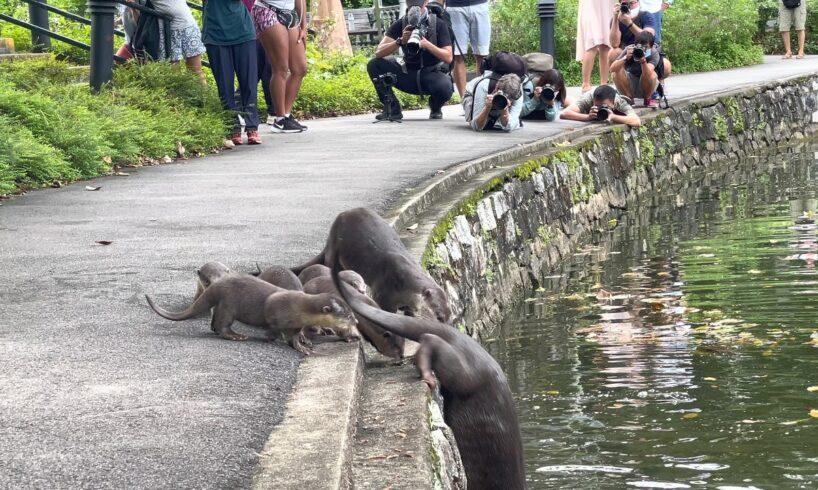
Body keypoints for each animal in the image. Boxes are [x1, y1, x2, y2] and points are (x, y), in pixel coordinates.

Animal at [145, 274, 356, 354]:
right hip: (229, 304)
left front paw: (302, 346)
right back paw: (236, 336)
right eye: (346, 316)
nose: (355, 321)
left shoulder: (296, 326)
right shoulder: (275, 312)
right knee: (222, 324)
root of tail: (217, 284)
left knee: (215, 322)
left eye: (351, 313)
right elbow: (274, 329)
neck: (301, 308)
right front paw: (271, 338)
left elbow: (294, 338)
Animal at [290, 209, 450, 324]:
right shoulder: (383, 292)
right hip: (334, 250)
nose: (446, 326)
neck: (403, 282)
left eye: (450, 317)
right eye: (439, 316)